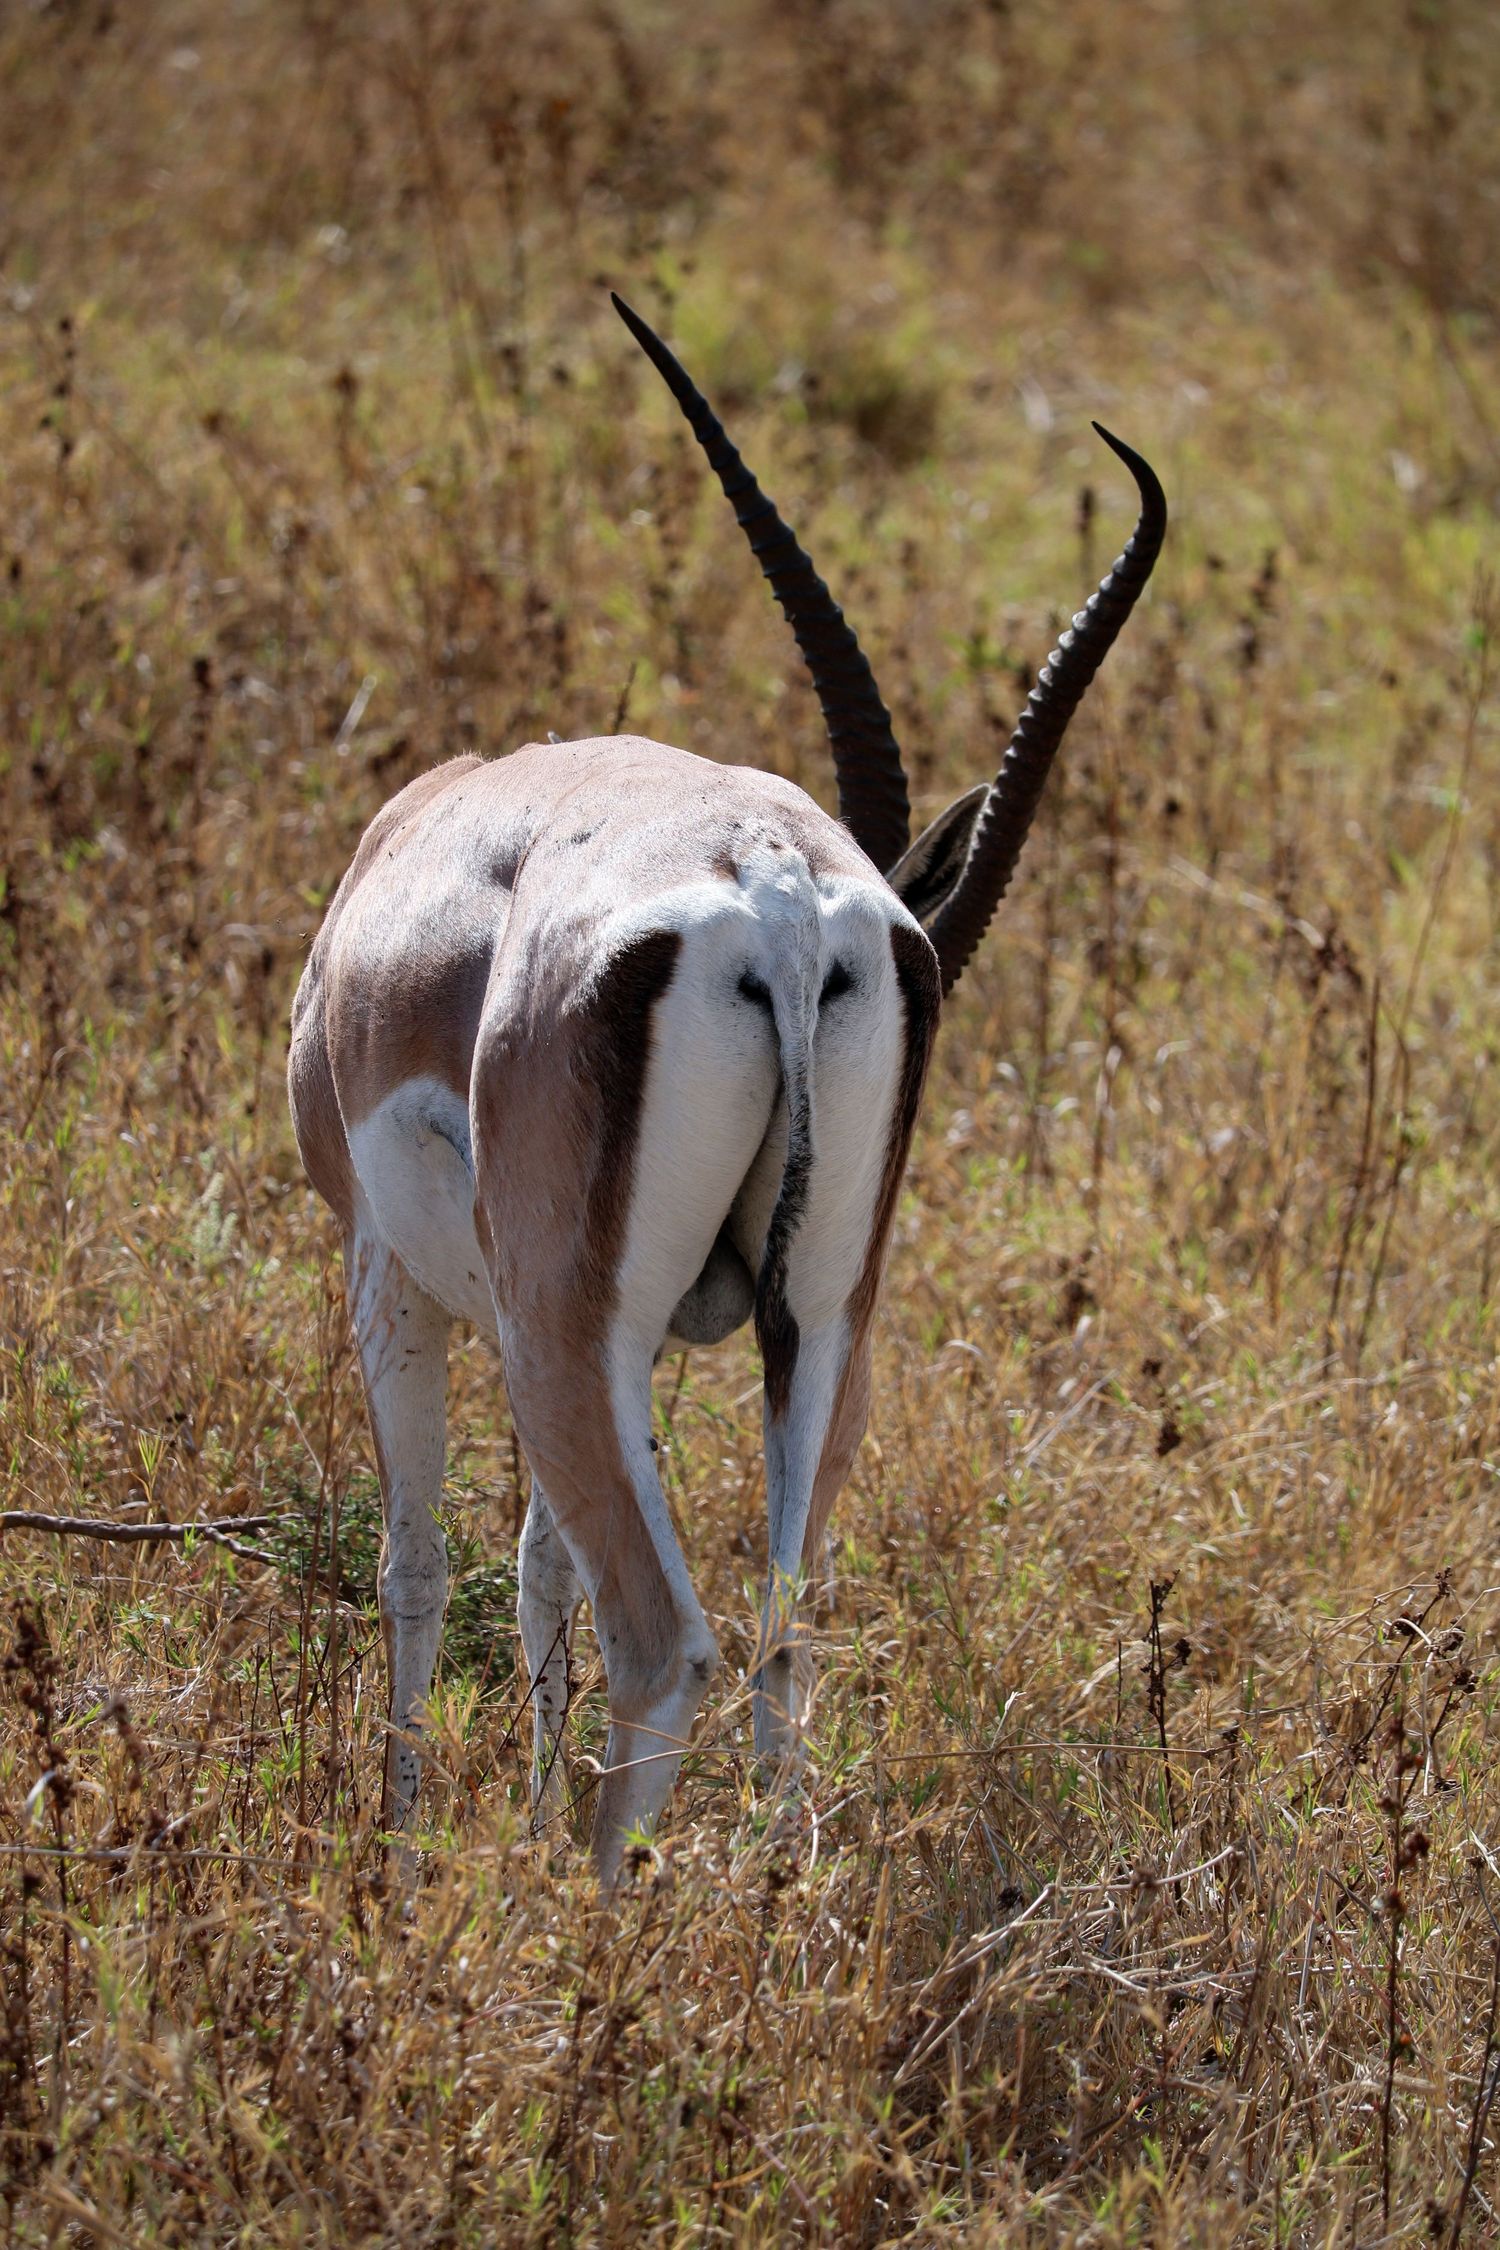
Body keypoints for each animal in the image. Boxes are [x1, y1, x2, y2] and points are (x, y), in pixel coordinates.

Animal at [288, 294, 1166, 1884]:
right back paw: (760, 1894)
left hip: (576, 1332)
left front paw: (401, 1848)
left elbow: (420, 1562)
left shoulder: (395, 1277)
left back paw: (583, 1907)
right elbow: (540, 1566)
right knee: (783, 1635)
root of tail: (778, 893)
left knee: (670, 1643)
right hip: (816, 1329)